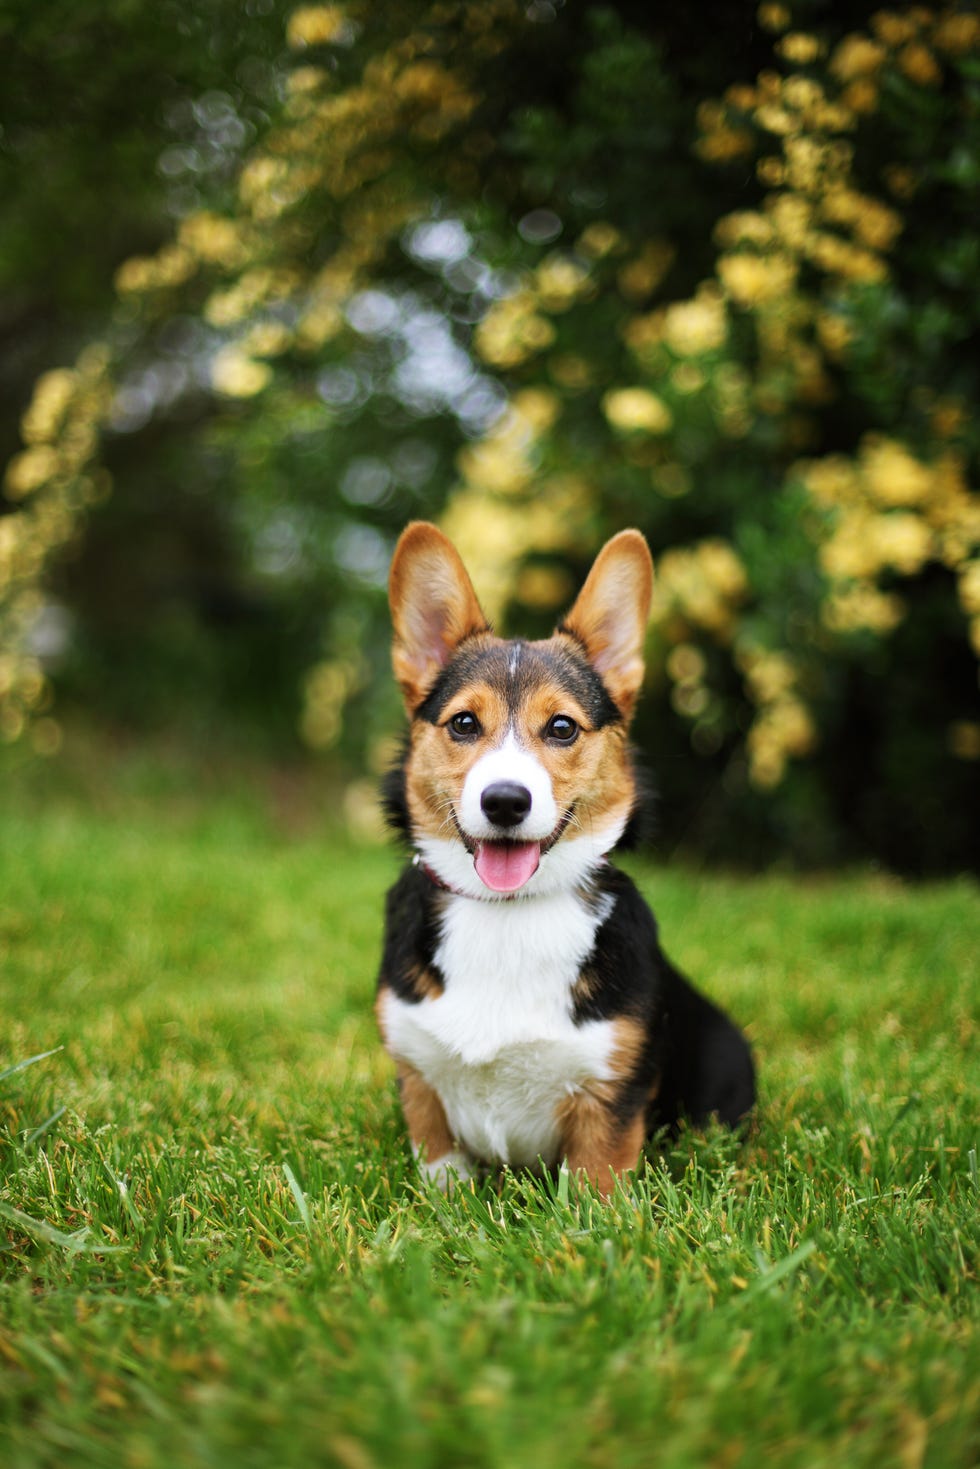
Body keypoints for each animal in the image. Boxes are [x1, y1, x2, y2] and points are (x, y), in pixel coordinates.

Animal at [379, 522, 758, 1198]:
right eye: (464, 723)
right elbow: (440, 1166)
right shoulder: (418, 1074)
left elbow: (595, 1183)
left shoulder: (610, 1090)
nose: (505, 801)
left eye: (561, 728)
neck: (507, 913)